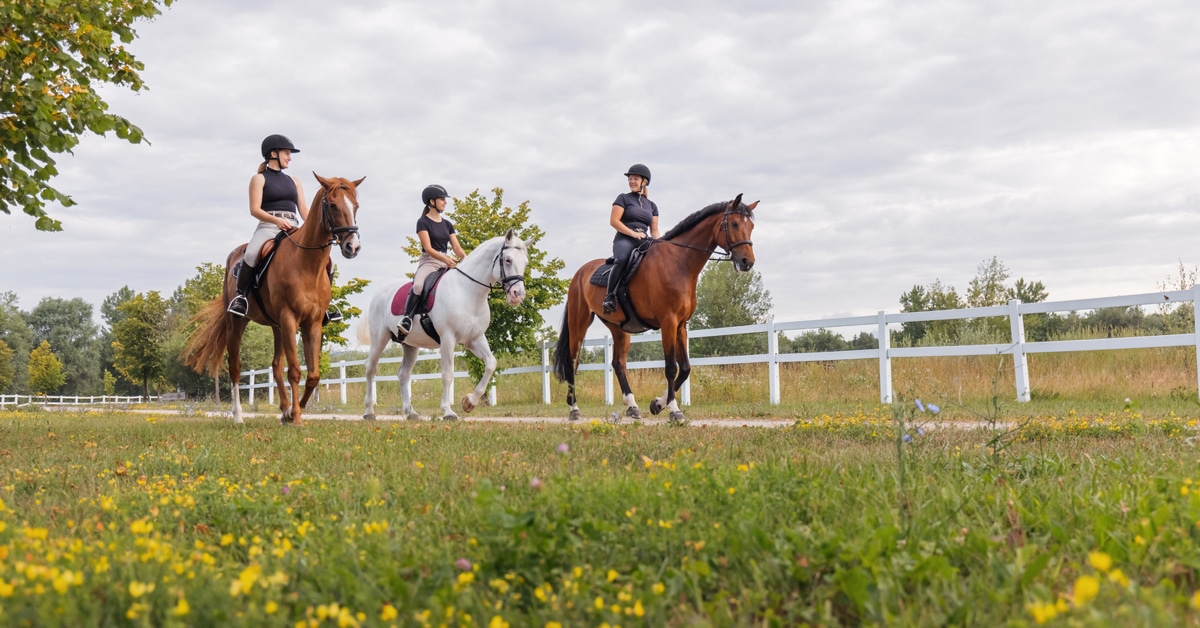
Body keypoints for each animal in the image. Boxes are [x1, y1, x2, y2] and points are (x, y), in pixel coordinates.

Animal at [185, 173, 364, 425]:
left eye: (355, 206)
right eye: (332, 205)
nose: (353, 246)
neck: (307, 264)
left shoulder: (312, 323)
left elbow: (313, 374)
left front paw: (292, 412)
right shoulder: (290, 318)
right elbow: (296, 371)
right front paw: (296, 417)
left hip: (277, 326)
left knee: (277, 366)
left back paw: (284, 410)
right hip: (238, 323)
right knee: (235, 367)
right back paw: (238, 417)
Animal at [359, 229, 530, 421]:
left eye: (525, 263)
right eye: (508, 260)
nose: (518, 295)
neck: (467, 290)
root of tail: (379, 293)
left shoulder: (475, 339)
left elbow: (491, 363)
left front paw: (469, 402)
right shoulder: (448, 338)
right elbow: (448, 374)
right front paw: (448, 411)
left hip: (410, 345)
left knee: (403, 374)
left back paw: (411, 412)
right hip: (379, 338)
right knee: (370, 369)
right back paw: (369, 412)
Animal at [553, 194, 758, 424]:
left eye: (751, 226)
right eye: (734, 224)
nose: (747, 262)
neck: (679, 262)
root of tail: (580, 273)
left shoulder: (681, 325)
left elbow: (685, 368)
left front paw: (658, 404)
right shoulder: (668, 322)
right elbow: (671, 367)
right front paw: (673, 410)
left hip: (619, 328)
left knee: (618, 364)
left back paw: (632, 406)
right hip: (579, 323)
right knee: (572, 362)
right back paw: (574, 409)